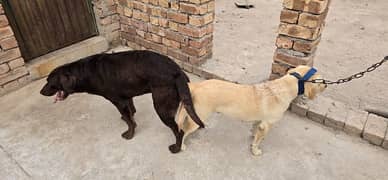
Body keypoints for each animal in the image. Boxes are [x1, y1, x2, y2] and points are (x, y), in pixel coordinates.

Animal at [40, 50, 205, 153]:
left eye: (49, 81)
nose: (41, 92)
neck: (85, 72)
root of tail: (176, 70)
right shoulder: (126, 97)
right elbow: (131, 113)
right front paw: (128, 119)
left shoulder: (118, 101)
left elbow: (129, 120)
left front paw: (129, 134)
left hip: (161, 108)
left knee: (179, 130)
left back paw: (176, 148)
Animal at [177, 65, 326, 155]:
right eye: (320, 80)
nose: (326, 85)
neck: (284, 86)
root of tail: (197, 86)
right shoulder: (266, 125)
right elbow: (259, 140)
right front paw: (255, 150)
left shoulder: (260, 123)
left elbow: (255, 132)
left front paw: (253, 138)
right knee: (184, 130)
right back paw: (182, 146)